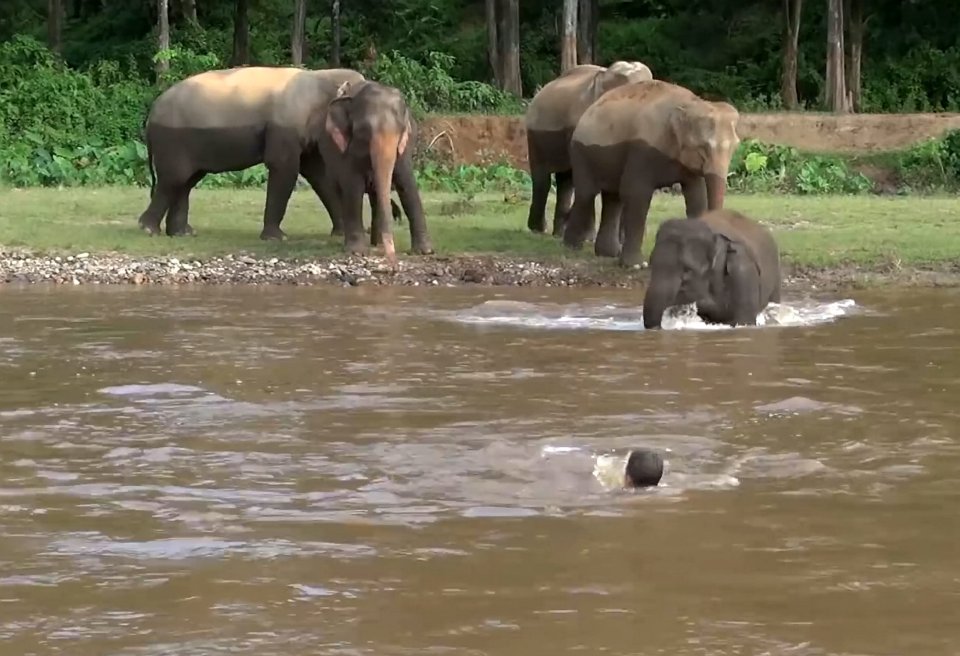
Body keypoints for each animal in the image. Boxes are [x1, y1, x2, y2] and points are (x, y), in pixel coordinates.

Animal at [140, 64, 368, 241]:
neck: (321, 76)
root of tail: (151, 114)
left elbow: (318, 175)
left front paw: (339, 233)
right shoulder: (283, 129)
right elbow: (284, 168)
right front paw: (277, 238)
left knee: (186, 182)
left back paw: (182, 233)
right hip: (172, 141)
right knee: (174, 179)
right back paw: (148, 230)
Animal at [322, 82, 436, 264]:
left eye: (400, 131)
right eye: (363, 131)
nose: (392, 261)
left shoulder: (405, 145)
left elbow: (407, 185)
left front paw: (425, 251)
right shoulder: (346, 149)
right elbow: (353, 187)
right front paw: (356, 252)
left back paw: (377, 244)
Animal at [520, 60, 656, 237]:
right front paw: (588, 237)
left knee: (565, 180)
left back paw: (559, 232)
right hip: (535, 136)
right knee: (543, 178)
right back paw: (539, 229)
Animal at [564, 80, 744, 270]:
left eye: (735, 147)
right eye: (703, 148)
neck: (689, 103)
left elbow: (696, 196)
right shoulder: (642, 148)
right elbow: (636, 193)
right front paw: (636, 265)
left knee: (613, 198)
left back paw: (608, 253)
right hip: (580, 152)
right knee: (586, 193)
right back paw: (572, 246)